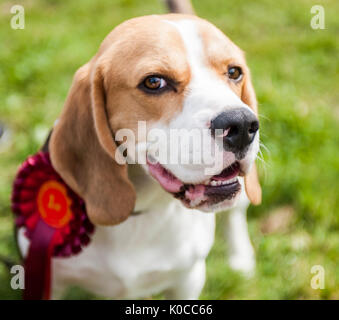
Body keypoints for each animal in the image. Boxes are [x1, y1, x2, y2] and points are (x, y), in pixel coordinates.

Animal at [17, 1, 262, 298]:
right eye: (154, 82)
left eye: (234, 72)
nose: (242, 125)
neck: (140, 209)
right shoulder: (50, 281)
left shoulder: (188, 278)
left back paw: (240, 258)